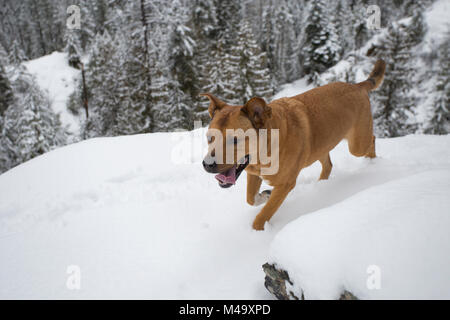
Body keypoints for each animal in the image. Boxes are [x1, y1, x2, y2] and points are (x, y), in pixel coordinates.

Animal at [202, 59, 384, 230]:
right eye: (209, 138)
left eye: (234, 139)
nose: (207, 165)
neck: (268, 146)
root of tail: (356, 86)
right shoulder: (253, 173)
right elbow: (250, 198)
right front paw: (264, 195)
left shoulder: (285, 185)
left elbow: (263, 214)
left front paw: (256, 233)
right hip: (319, 145)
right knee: (328, 163)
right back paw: (322, 183)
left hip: (357, 145)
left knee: (372, 140)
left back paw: (372, 162)